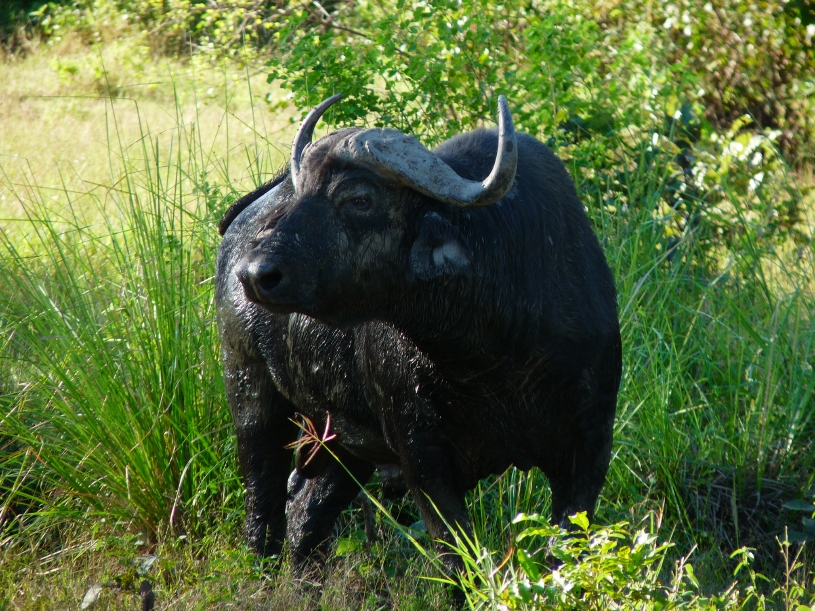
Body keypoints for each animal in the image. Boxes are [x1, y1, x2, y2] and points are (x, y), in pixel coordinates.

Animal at [215, 94, 621, 580]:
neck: (492, 359)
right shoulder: (423, 460)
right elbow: (459, 562)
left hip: (343, 442)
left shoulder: (589, 447)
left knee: (306, 516)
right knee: (264, 511)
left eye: (359, 198)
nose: (255, 274)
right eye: (303, 191)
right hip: (250, 396)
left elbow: (565, 555)